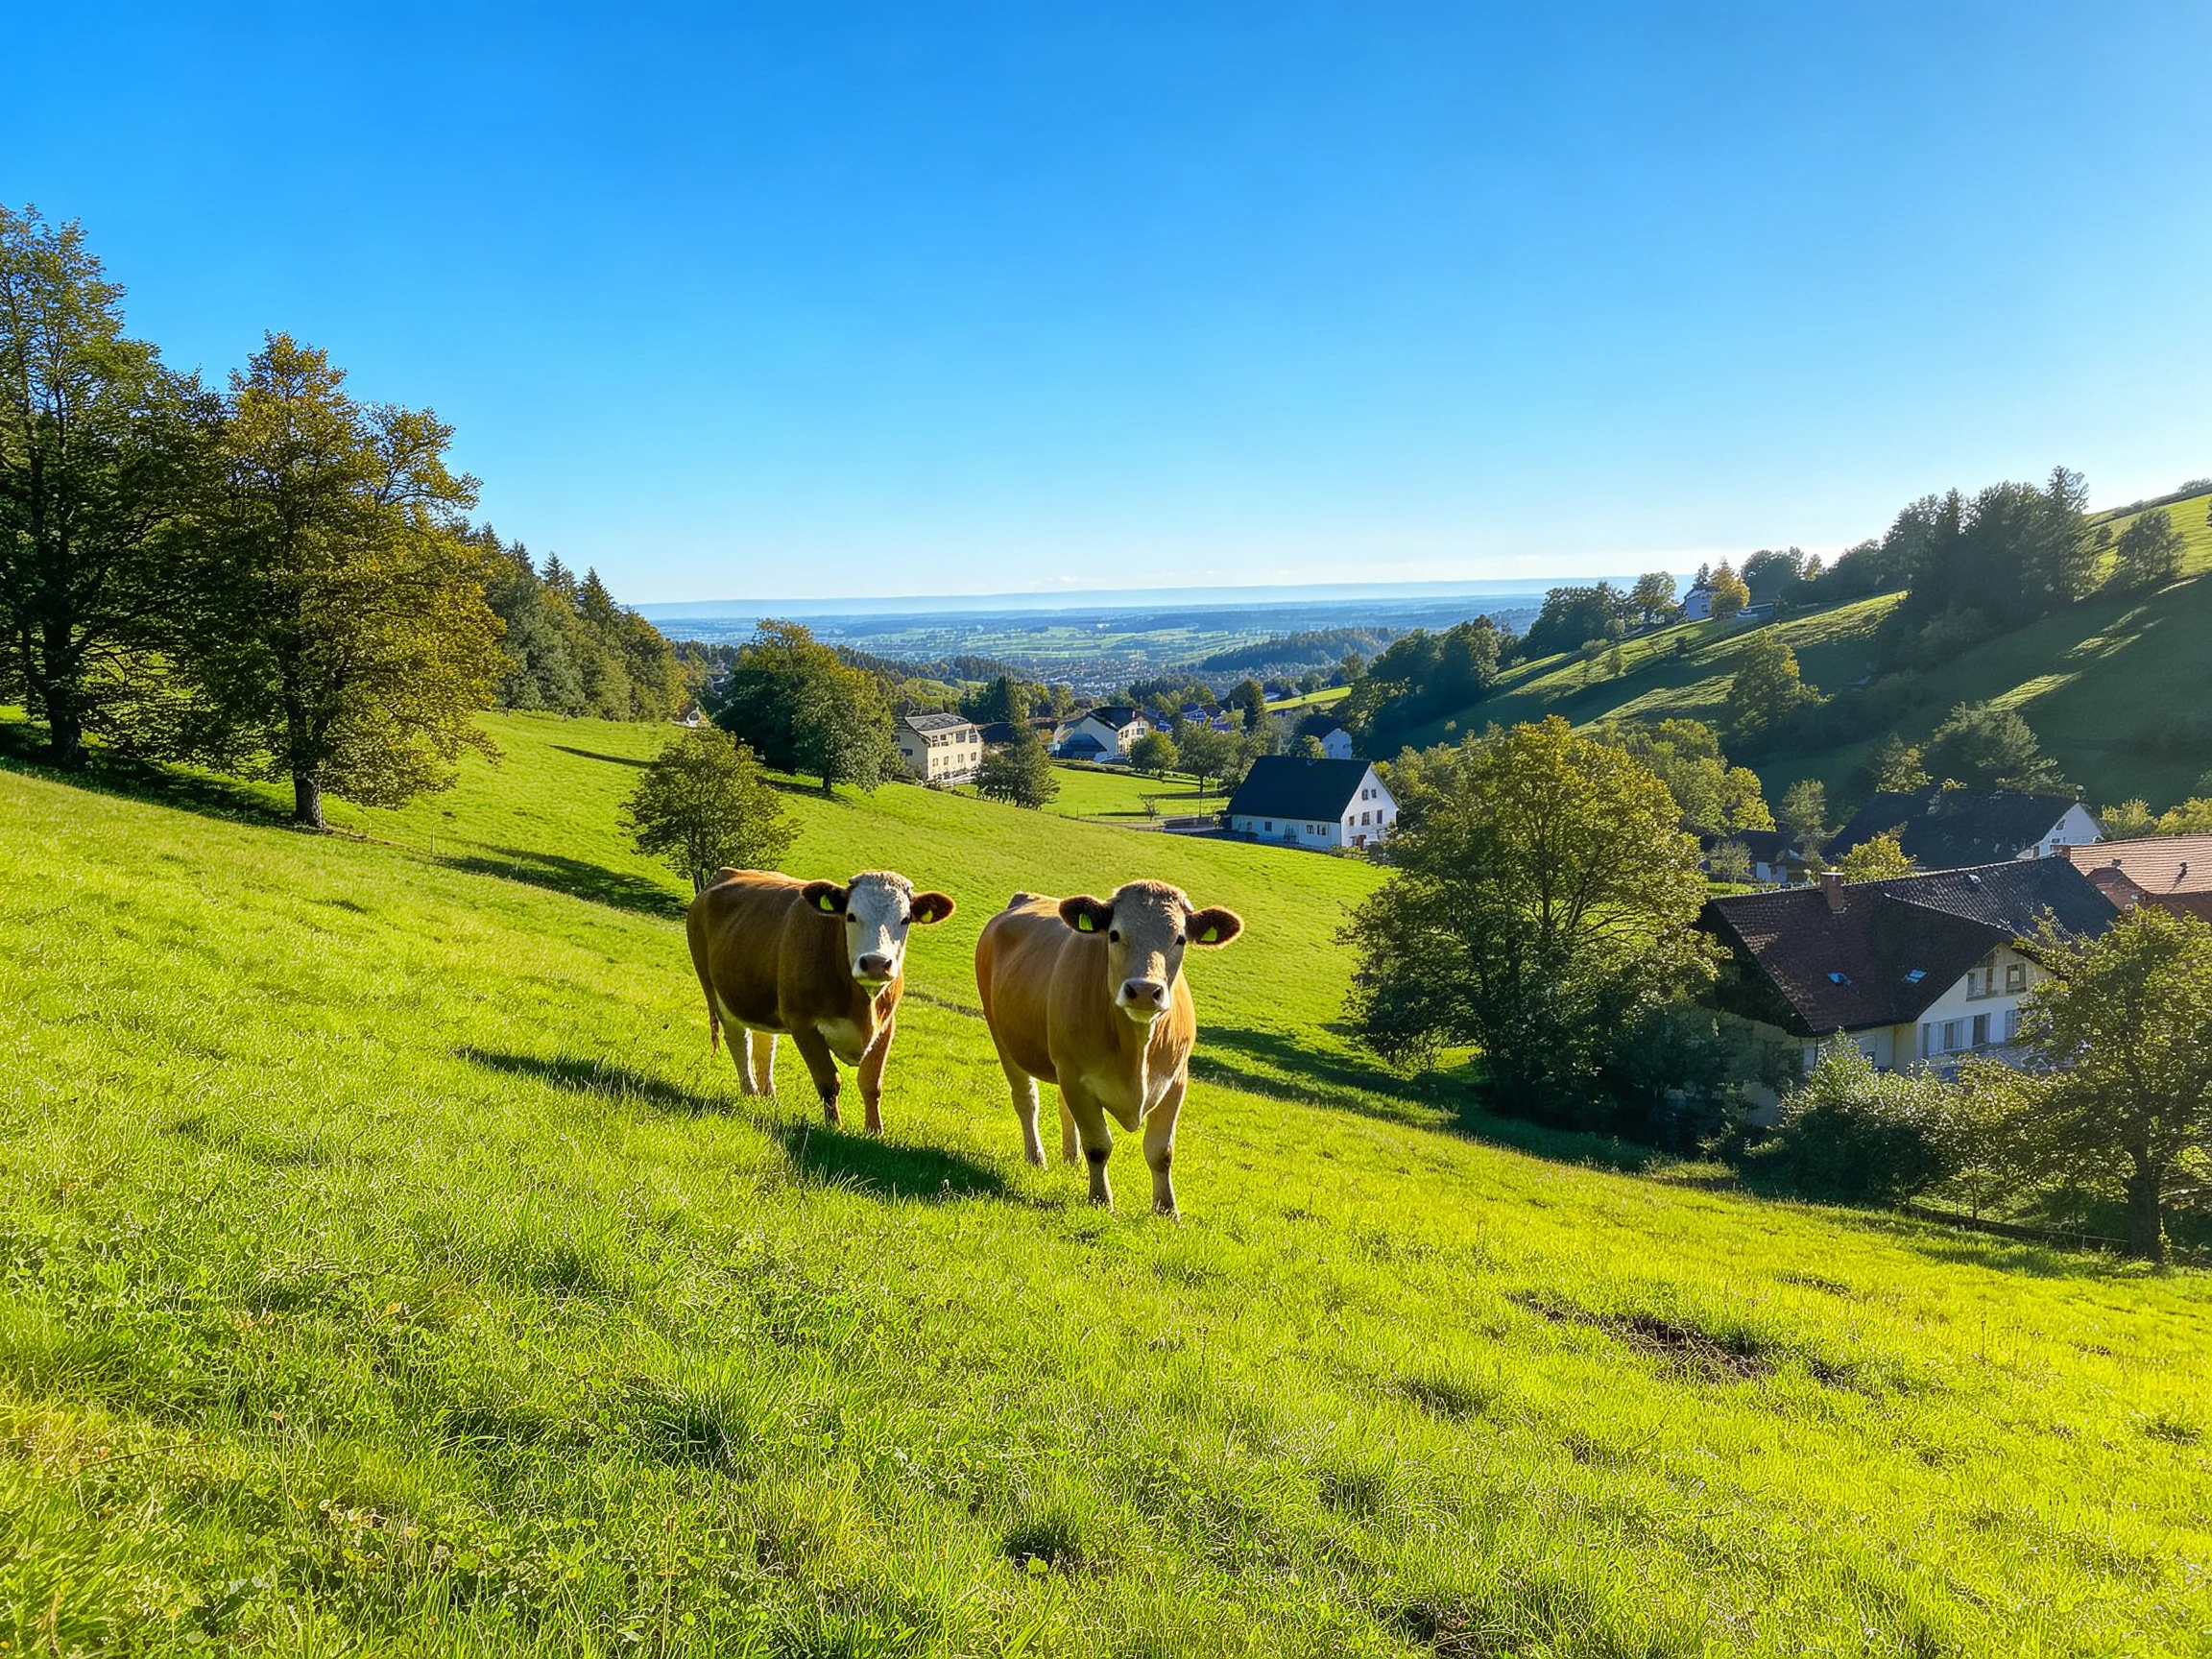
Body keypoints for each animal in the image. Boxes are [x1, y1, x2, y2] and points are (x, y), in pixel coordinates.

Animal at [687, 869, 955, 1132]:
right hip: (713, 988)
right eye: (851, 916)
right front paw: (834, 1126)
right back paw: (750, 1093)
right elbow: (829, 1081)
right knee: (739, 1040)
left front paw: (875, 1131)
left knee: (765, 1044)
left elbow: (871, 1084)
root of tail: (725, 874)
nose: (876, 963)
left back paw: (768, 1097)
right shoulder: (802, 1024)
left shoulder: (886, 1025)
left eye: (905, 919)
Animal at [974, 880, 1243, 1216]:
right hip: (1003, 1038)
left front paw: (1167, 1210)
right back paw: (1036, 1158)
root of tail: (1027, 898)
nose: (1144, 990)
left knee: (1061, 1106)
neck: (1137, 1052)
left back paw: (1071, 1159)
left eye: (1180, 938)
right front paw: (1101, 1200)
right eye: (1114, 934)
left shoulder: (1176, 1080)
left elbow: (1161, 1151)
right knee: (1027, 1100)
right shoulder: (1076, 1077)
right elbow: (1099, 1146)